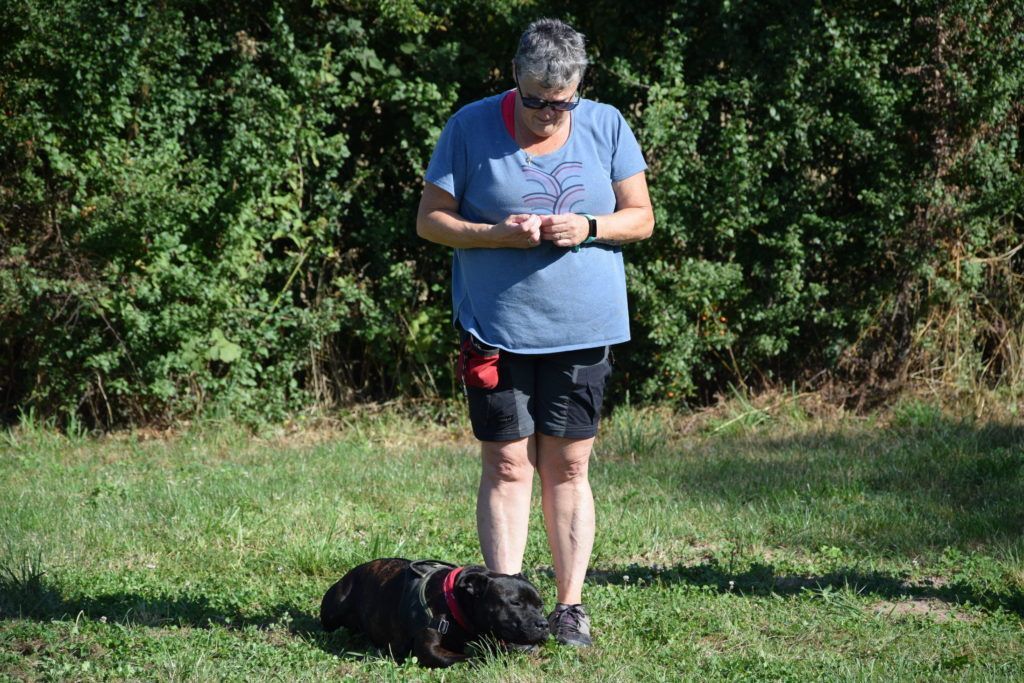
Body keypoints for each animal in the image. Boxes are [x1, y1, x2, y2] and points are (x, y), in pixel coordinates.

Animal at [321, 561, 552, 667]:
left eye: (540, 606)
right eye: (515, 603)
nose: (543, 624)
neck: (456, 602)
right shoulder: (429, 650)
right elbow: (468, 656)